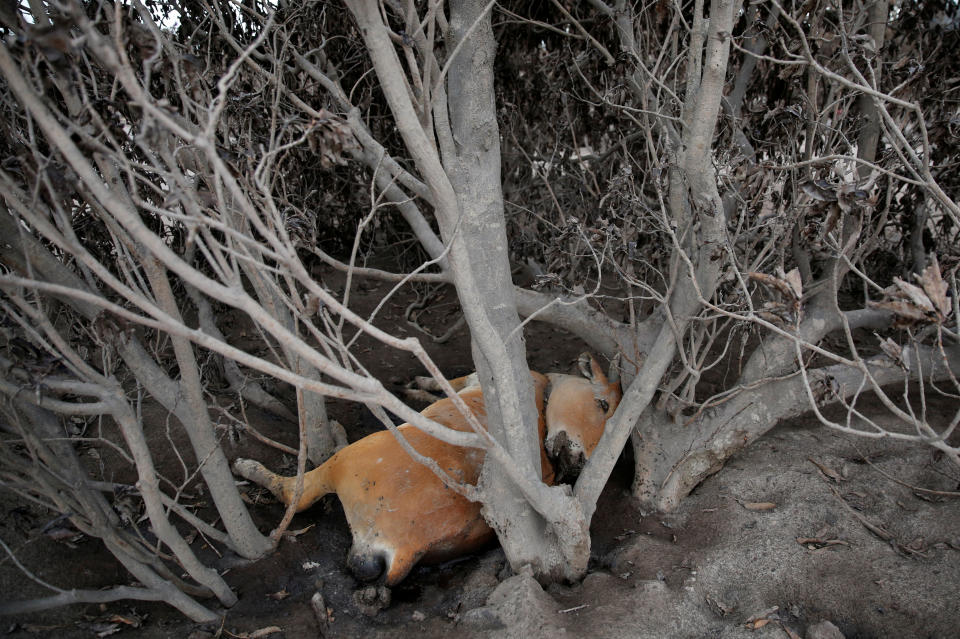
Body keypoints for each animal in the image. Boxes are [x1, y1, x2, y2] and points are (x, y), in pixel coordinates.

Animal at [232, 352, 624, 588]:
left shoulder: (471, 378)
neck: (543, 395)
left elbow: (444, 382)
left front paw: (419, 384)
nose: (580, 460)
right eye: (603, 405)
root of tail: (408, 545)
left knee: (297, 494)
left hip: (349, 461)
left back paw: (252, 466)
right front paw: (418, 388)